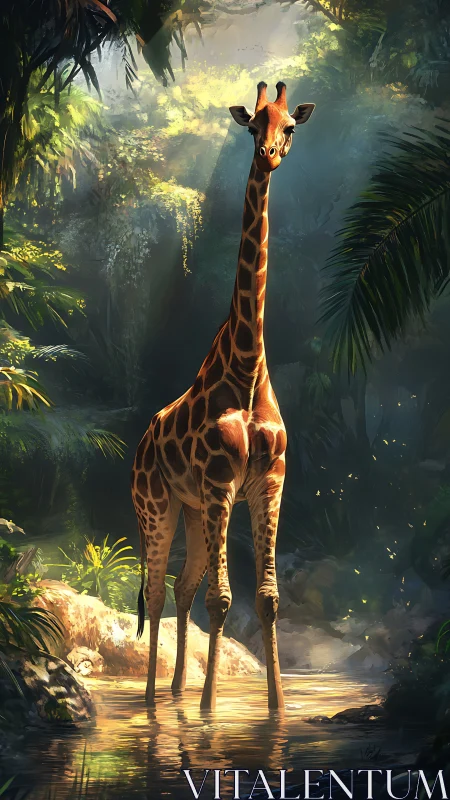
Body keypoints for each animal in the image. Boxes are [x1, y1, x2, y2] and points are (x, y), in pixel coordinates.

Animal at [131, 81, 315, 711]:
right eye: (253, 123)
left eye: (290, 125)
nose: (269, 154)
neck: (248, 364)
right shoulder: (219, 484)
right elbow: (223, 599)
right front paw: (212, 712)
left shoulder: (268, 480)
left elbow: (267, 598)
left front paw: (276, 709)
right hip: (157, 506)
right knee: (157, 592)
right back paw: (155, 702)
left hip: (190, 510)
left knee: (180, 587)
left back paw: (177, 693)